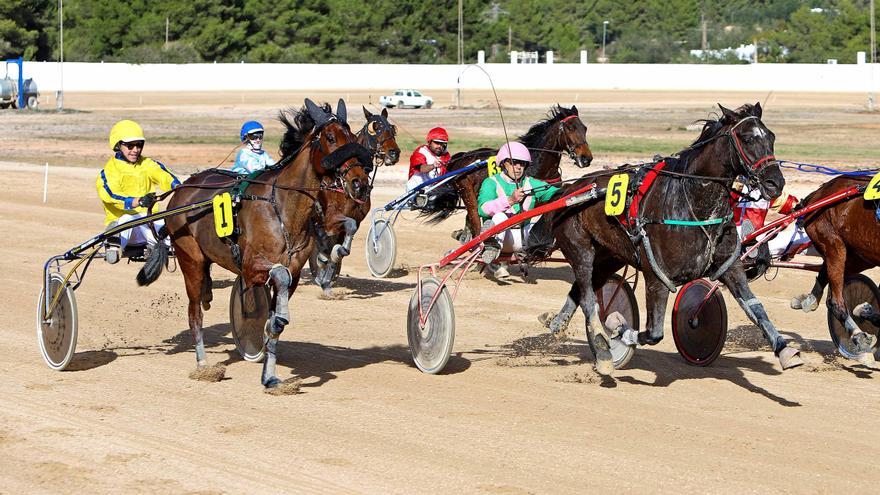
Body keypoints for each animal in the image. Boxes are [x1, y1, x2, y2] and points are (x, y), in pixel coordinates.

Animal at [140, 99, 372, 390]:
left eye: (352, 137)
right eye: (330, 138)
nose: (359, 183)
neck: (283, 208)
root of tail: (182, 189)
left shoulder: (296, 272)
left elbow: (276, 320)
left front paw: (270, 375)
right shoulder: (251, 266)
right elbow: (278, 277)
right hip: (190, 258)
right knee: (194, 312)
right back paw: (203, 365)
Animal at [310, 106, 402, 292]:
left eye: (392, 128)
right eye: (376, 128)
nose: (394, 153)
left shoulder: (354, 220)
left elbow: (340, 248)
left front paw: (327, 277)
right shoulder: (330, 219)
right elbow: (327, 244)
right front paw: (322, 272)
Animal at [422, 104, 596, 240]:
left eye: (585, 128)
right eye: (570, 128)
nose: (586, 158)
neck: (536, 165)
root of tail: (462, 158)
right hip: (467, 193)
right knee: (475, 220)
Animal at [532, 103, 800, 376]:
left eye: (771, 137)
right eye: (746, 139)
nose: (775, 183)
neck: (693, 203)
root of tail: (569, 190)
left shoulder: (730, 267)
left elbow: (756, 308)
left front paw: (784, 349)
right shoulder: (656, 277)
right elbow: (653, 333)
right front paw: (617, 327)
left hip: (610, 256)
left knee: (580, 290)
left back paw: (557, 323)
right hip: (581, 250)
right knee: (588, 299)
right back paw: (602, 349)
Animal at [792, 175, 880, 368]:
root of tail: (817, 194)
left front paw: (866, 311)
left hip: (860, 255)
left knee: (827, 276)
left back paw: (809, 300)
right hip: (834, 245)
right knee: (835, 302)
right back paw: (858, 337)